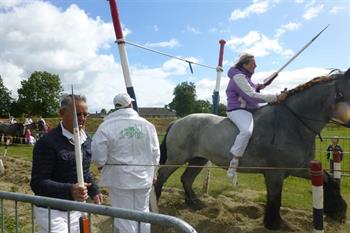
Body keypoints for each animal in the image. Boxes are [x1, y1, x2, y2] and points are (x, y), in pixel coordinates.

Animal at [156, 68, 350, 230]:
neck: (293, 123)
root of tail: (177, 122)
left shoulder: (300, 168)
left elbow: (329, 180)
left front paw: (338, 209)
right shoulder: (275, 174)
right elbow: (275, 199)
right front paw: (275, 224)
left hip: (198, 160)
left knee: (186, 179)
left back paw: (195, 203)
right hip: (176, 159)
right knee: (161, 177)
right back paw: (156, 203)